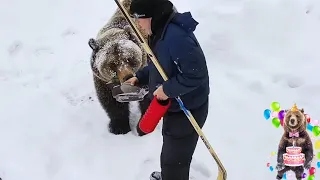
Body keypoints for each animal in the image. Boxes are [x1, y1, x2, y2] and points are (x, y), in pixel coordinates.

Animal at [87, 0, 151, 135]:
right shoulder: (103, 81)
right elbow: (112, 103)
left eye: (129, 58)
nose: (128, 76)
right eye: (112, 64)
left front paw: (141, 128)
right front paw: (119, 127)